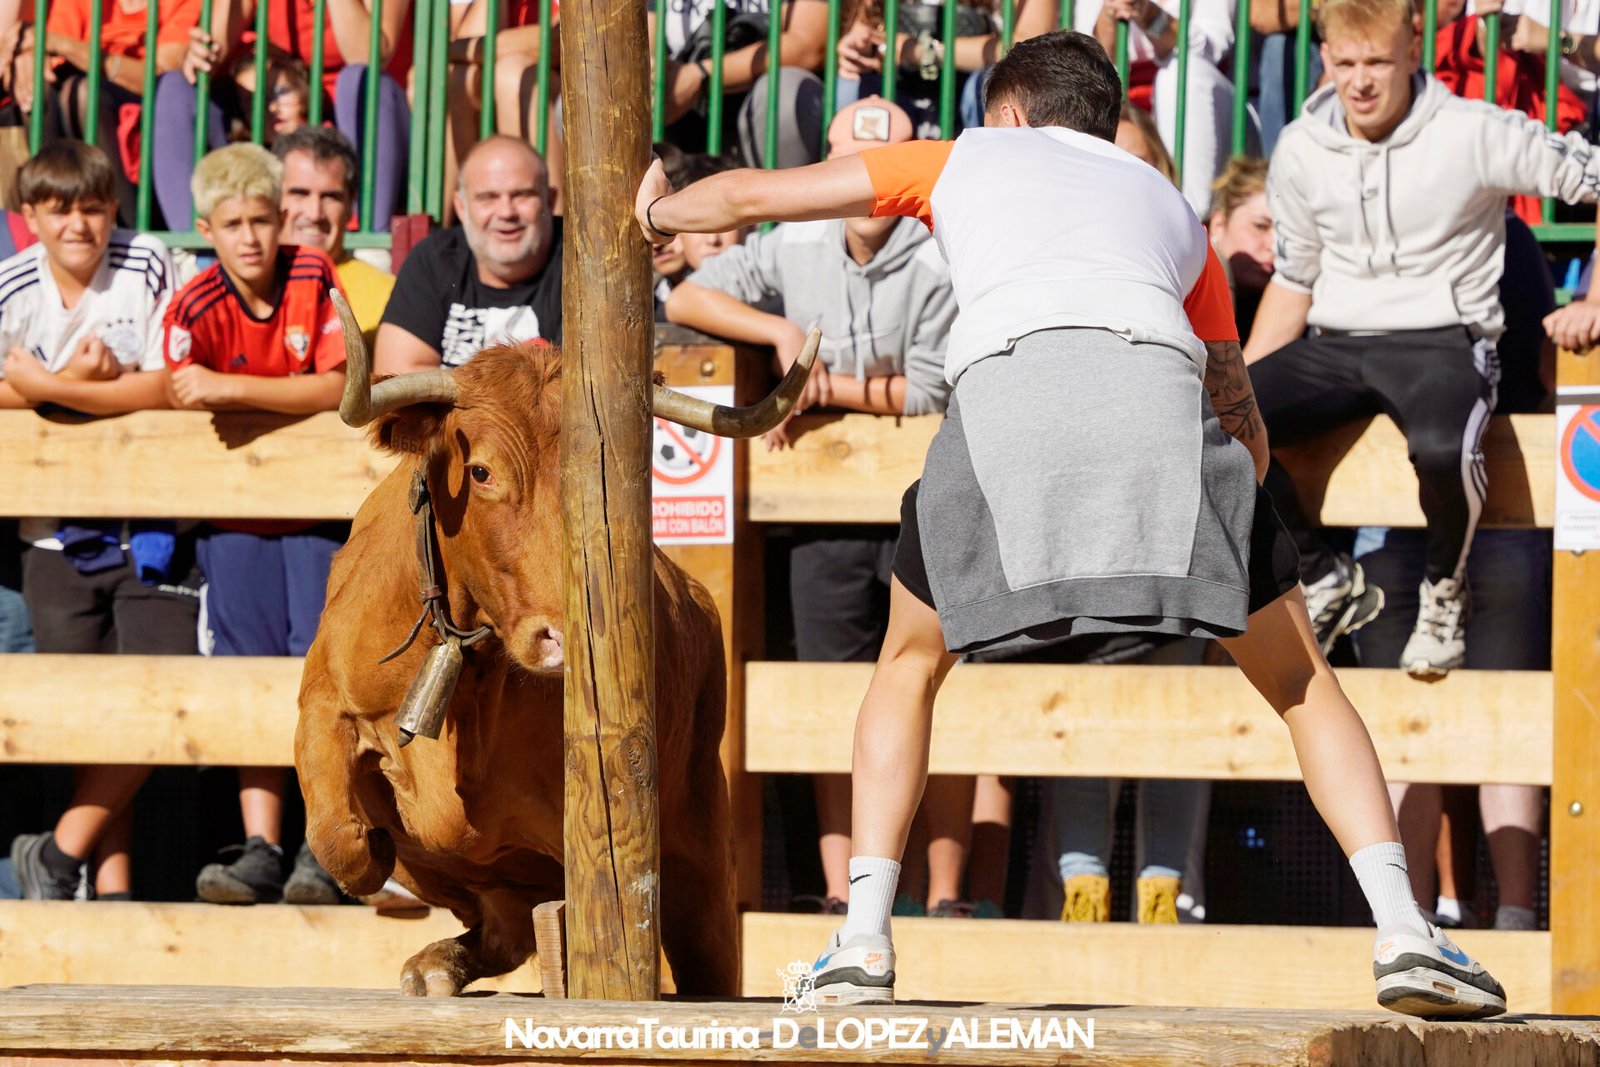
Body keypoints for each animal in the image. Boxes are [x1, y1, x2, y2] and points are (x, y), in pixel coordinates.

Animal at [296, 295, 819, 998]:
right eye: (481, 471)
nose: (562, 637)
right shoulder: (325, 702)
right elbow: (339, 837)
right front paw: (372, 844)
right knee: (504, 926)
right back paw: (435, 964)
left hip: (702, 852)